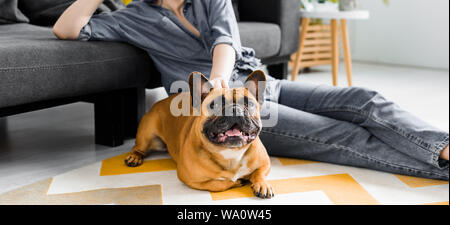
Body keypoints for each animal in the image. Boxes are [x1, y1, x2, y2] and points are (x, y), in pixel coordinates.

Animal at [125, 70, 274, 199]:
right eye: (214, 105)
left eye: (249, 104)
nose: (234, 109)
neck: (230, 154)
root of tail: (160, 102)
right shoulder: (191, 179)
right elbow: (218, 184)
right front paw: (237, 181)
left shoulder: (264, 164)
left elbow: (259, 173)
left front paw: (262, 184)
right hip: (147, 135)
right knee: (138, 148)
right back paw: (134, 157)